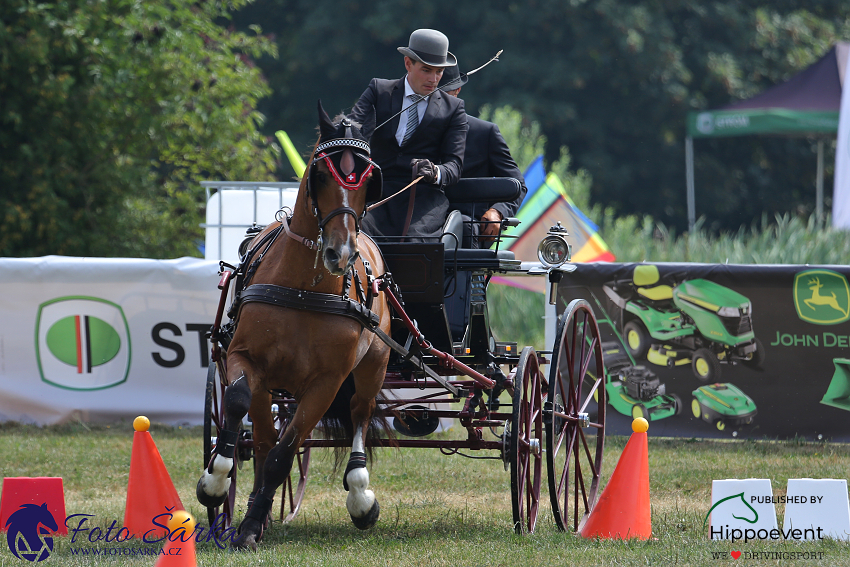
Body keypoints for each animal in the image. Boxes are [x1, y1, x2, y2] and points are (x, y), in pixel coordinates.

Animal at [196, 103, 390, 552]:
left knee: (360, 412)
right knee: (263, 437)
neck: (304, 286)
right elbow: (239, 409)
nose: (341, 253)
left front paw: (251, 525)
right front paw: (217, 483)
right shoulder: (245, 359)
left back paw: (360, 496)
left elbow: (286, 452)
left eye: (368, 180)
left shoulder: (327, 382)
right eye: (321, 174)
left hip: (374, 364)